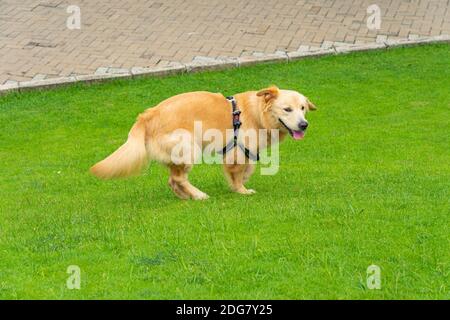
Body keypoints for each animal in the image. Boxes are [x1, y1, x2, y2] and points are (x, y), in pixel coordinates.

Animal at [90, 85, 316, 200]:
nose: (304, 125)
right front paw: (241, 190)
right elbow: (238, 173)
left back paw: (186, 196)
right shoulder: (237, 151)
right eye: (287, 109)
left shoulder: (247, 151)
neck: (257, 113)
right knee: (178, 178)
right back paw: (199, 195)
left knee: (172, 180)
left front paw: (243, 181)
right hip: (189, 147)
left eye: (303, 108)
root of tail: (147, 116)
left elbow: (248, 168)